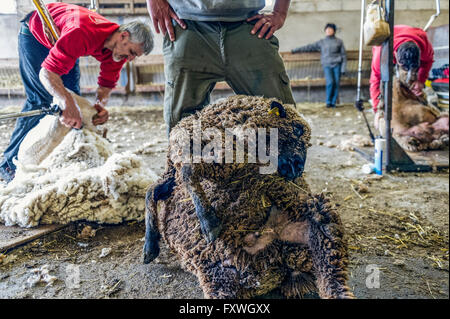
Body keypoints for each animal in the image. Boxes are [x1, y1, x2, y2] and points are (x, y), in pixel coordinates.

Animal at [142, 95, 354, 300]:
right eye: (297, 129)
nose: (298, 168)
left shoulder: (222, 159)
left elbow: (168, 182)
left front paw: (207, 223)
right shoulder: (189, 168)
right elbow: (155, 189)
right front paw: (152, 246)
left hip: (319, 220)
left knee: (333, 281)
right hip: (220, 276)